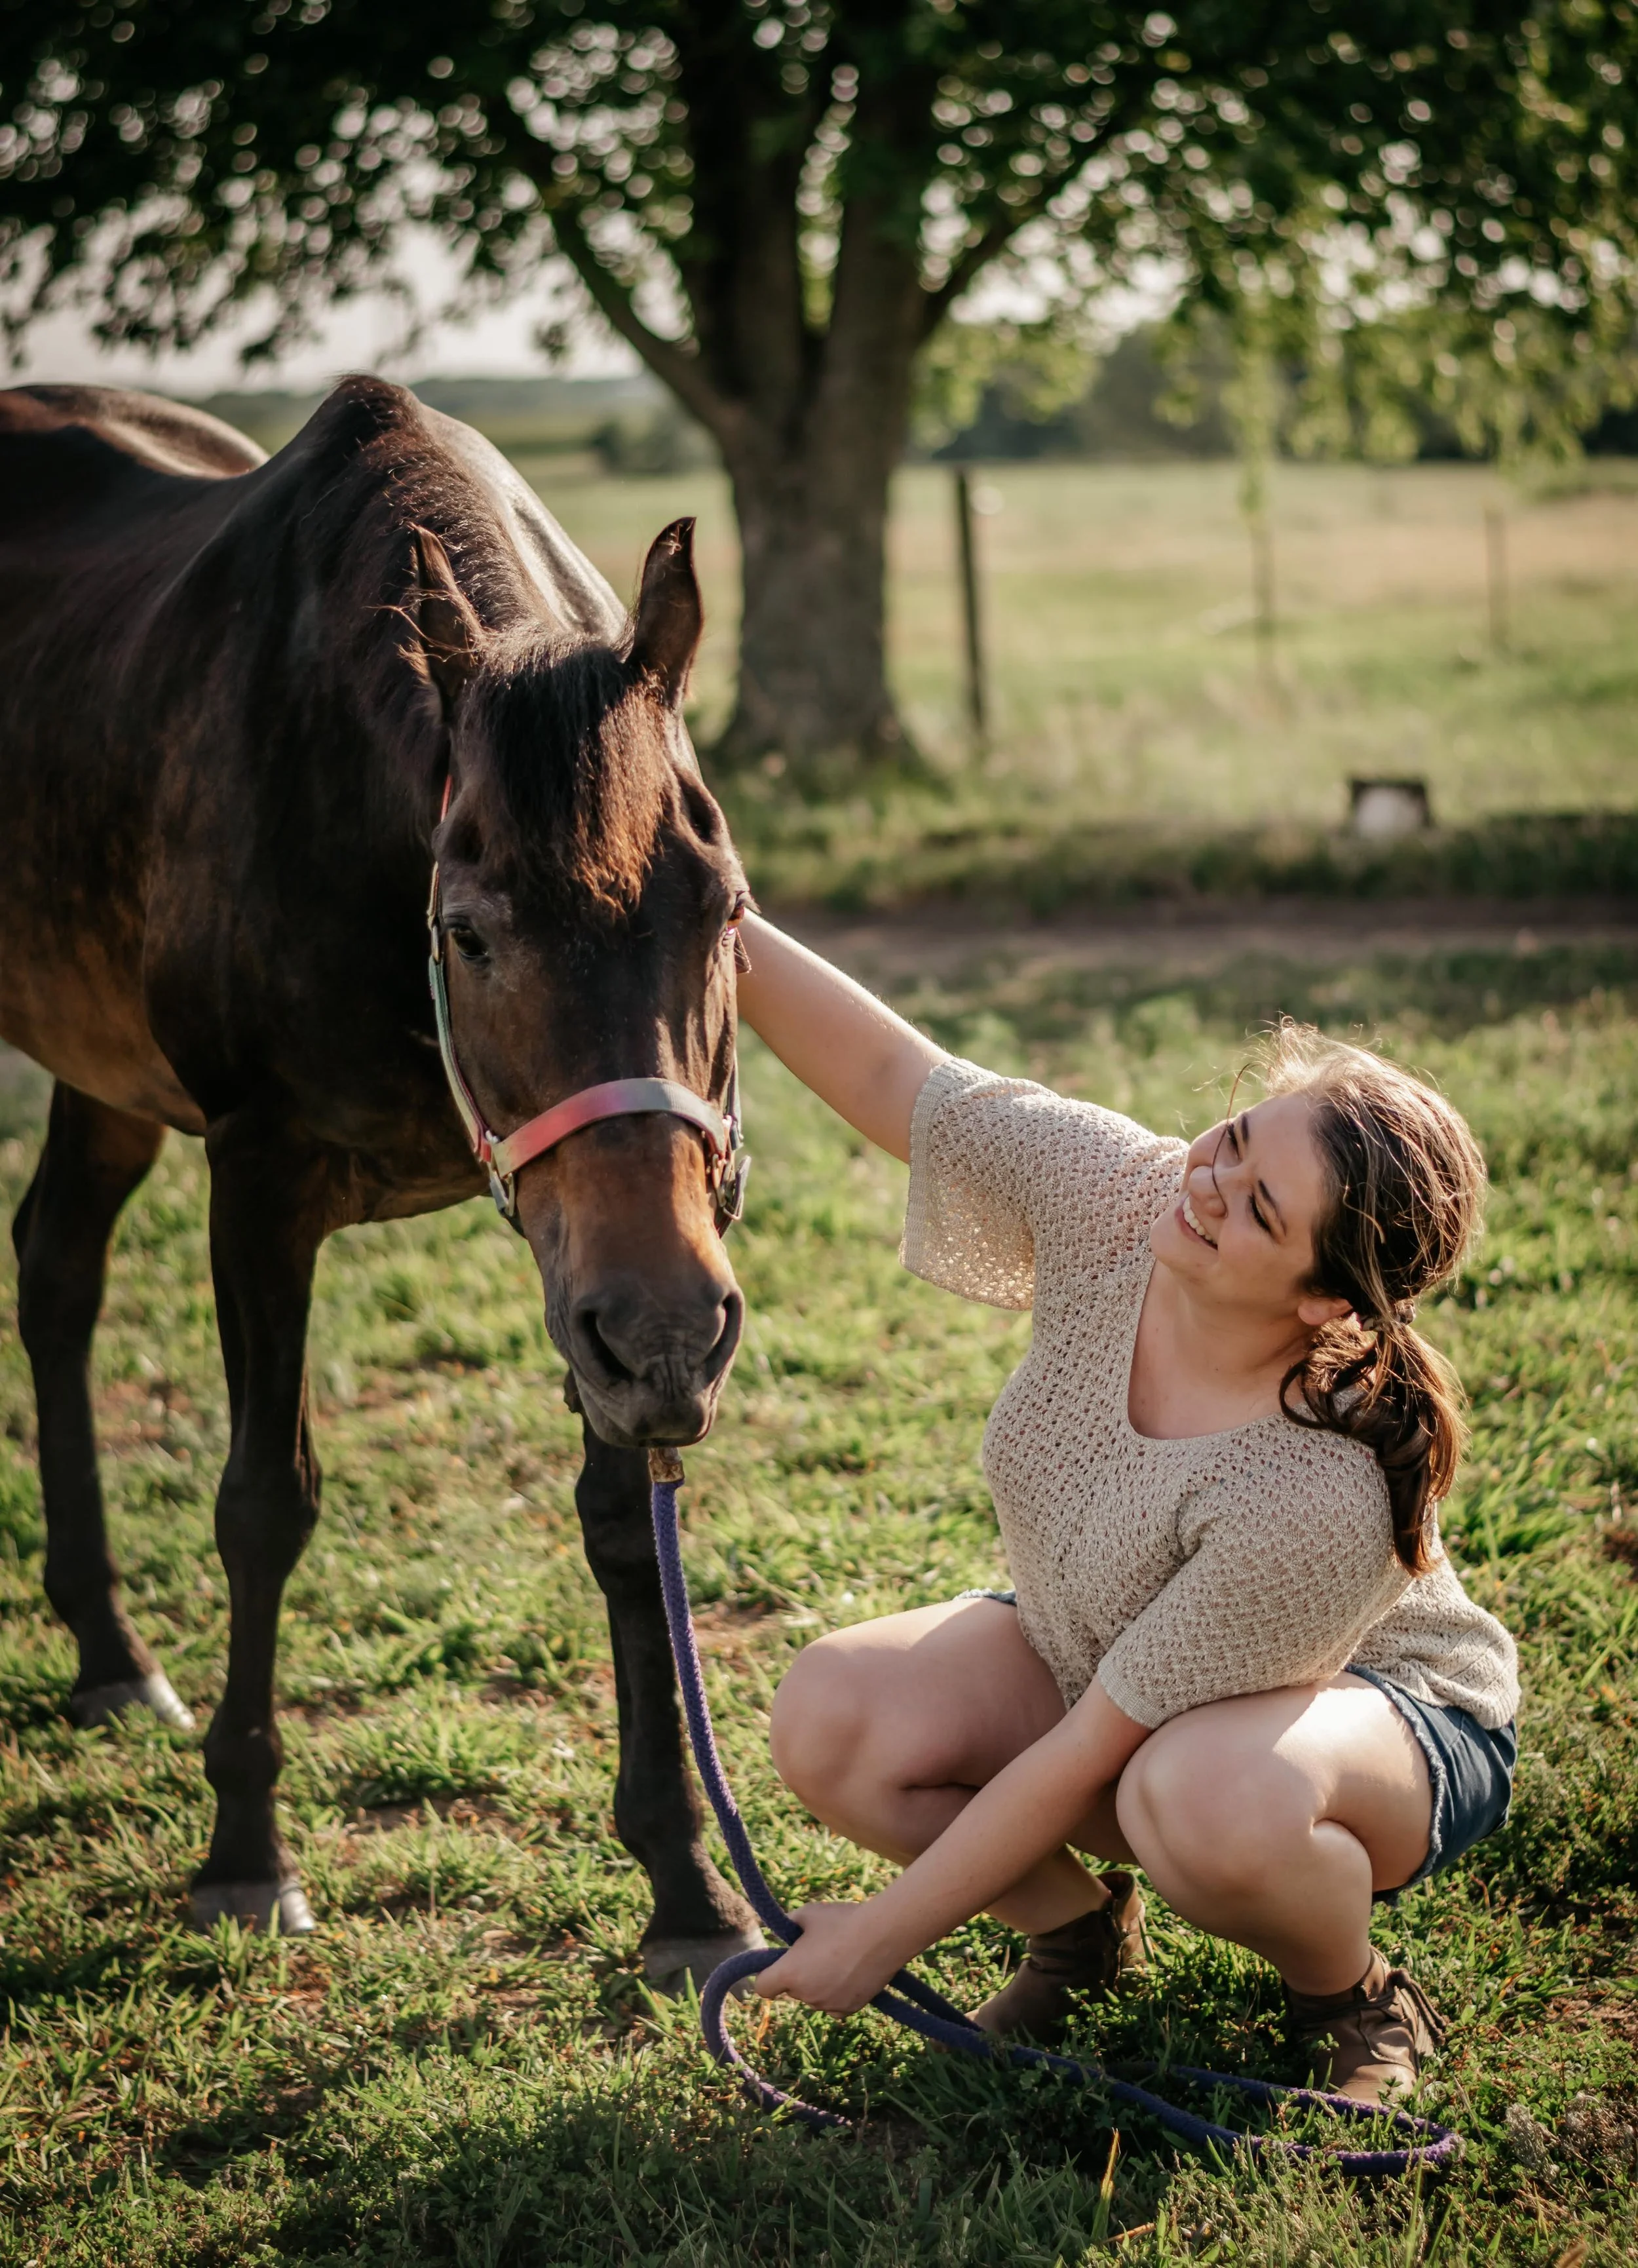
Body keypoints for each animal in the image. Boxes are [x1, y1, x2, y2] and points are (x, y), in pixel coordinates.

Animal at [0, 373, 764, 1990]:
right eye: (469, 930)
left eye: (723, 908)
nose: (673, 1332)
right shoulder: (259, 1180)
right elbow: (262, 1502)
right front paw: (243, 1855)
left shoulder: (603, 1267)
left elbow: (625, 1520)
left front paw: (685, 1884)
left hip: (103, 1073)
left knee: (57, 1267)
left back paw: (110, 1654)